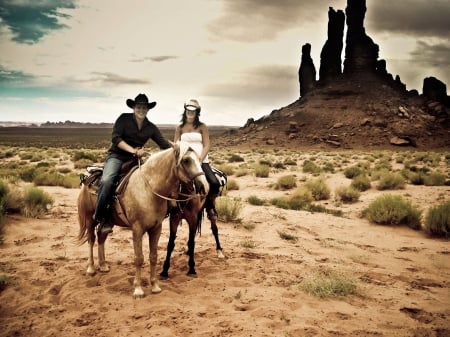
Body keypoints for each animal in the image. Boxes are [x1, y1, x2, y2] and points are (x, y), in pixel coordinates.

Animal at [77, 142, 209, 296]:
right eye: (186, 160)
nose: (205, 186)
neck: (149, 190)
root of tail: (89, 177)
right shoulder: (137, 229)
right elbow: (139, 258)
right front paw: (138, 289)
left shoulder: (156, 228)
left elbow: (153, 256)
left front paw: (155, 286)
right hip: (90, 219)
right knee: (91, 239)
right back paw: (91, 268)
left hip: (107, 222)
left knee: (101, 236)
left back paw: (103, 265)